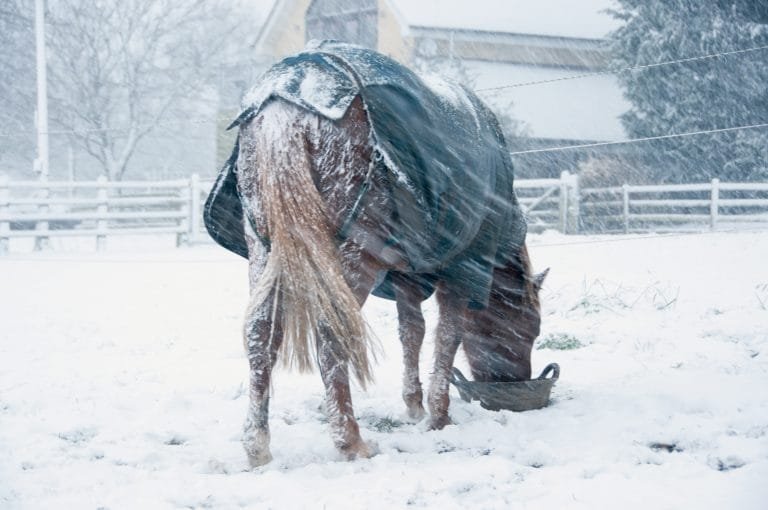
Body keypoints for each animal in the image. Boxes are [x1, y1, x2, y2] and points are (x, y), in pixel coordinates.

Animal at [204, 42, 547, 466]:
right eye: (531, 328)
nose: (515, 382)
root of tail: (292, 98)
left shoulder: (407, 277)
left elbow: (412, 332)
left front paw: (415, 404)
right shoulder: (461, 268)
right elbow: (447, 335)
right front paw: (438, 415)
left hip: (263, 249)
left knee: (260, 332)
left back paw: (257, 446)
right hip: (353, 253)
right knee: (332, 334)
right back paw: (350, 441)